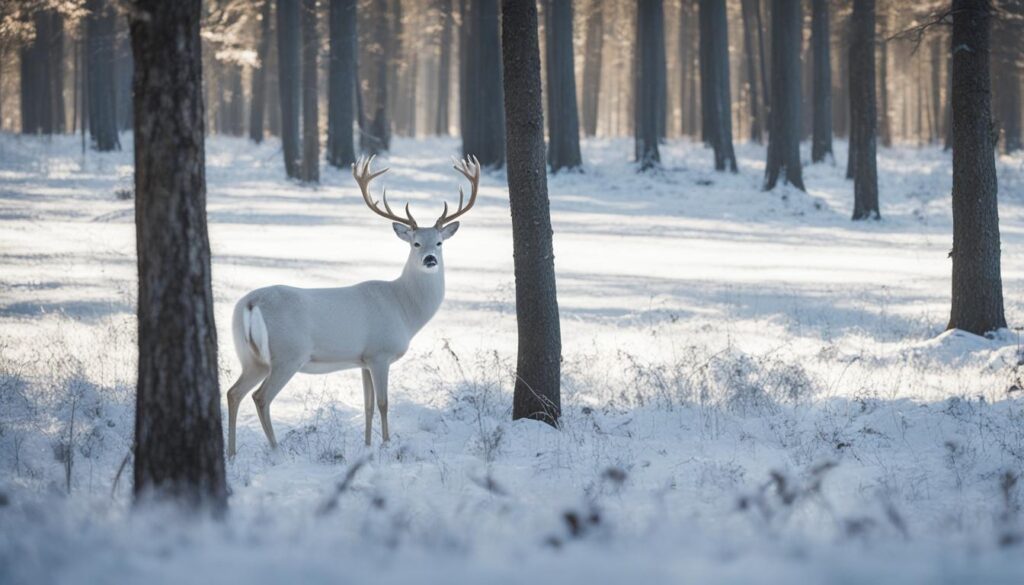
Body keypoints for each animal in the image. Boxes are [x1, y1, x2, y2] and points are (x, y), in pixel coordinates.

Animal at [226, 155, 480, 456]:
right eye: (416, 243)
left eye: (439, 243)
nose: (430, 259)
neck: (404, 309)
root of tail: (251, 304)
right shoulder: (380, 353)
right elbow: (383, 403)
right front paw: (386, 444)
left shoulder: (363, 359)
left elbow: (367, 405)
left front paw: (368, 445)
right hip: (287, 354)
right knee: (260, 397)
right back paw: (276, 451)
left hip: (250, 356)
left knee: (233, 392)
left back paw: (231, 453)